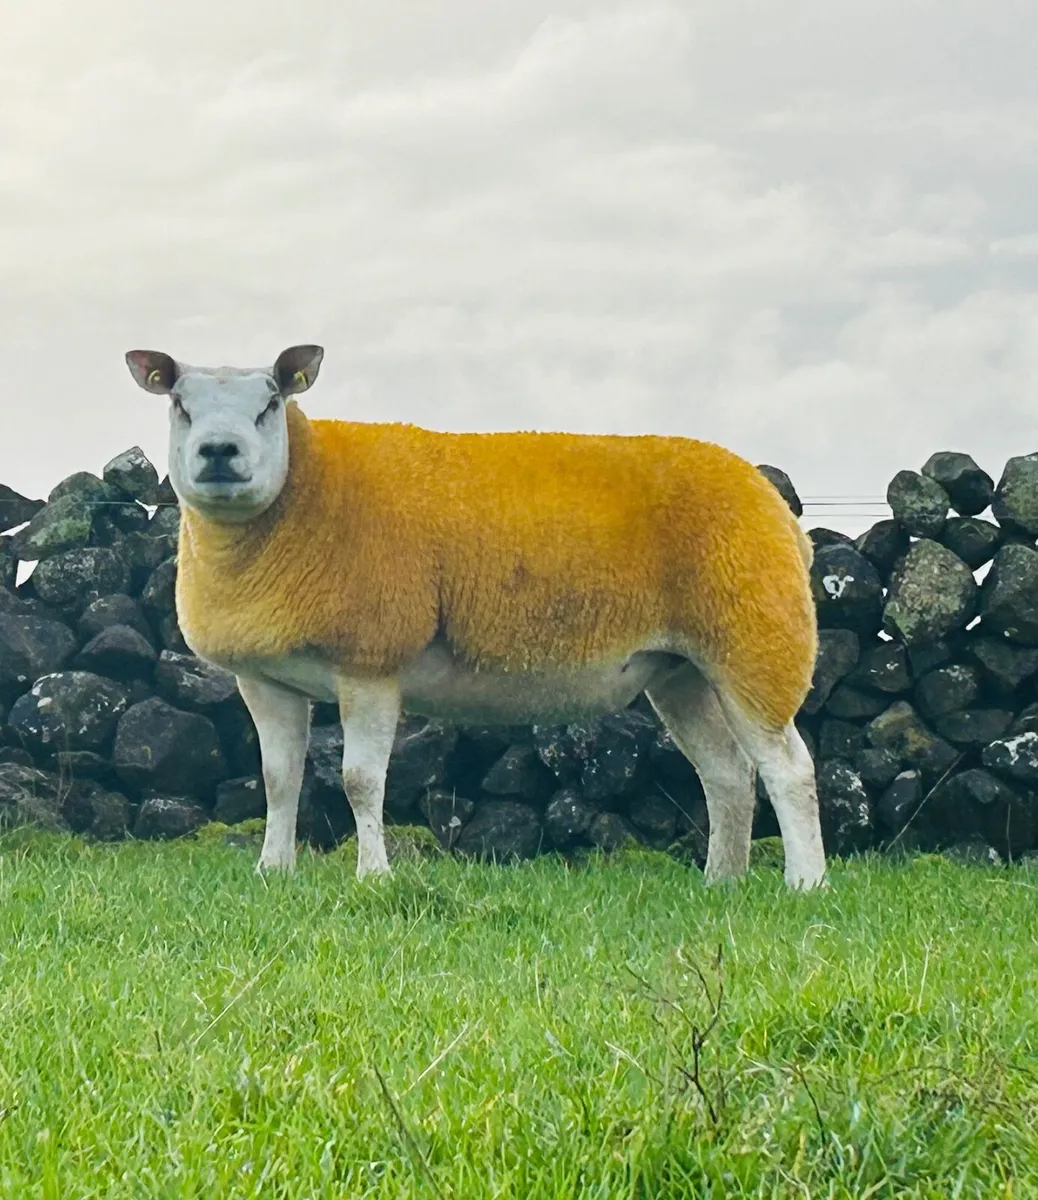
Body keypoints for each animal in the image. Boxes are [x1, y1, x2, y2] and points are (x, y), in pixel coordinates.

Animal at [124, 344, 827, 889]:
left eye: (270, 403)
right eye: (180, 403)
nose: (219, 451)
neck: (305, 496)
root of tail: (774, 506)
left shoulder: (372, 661)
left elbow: (359, 780)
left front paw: (373, 877)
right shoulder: (265, 678)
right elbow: (277, 778)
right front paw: (273, 871)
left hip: (756, 641)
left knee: (789, 770)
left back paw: (805, 884)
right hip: (682, 670)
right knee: (729, 775)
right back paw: (722, 882)